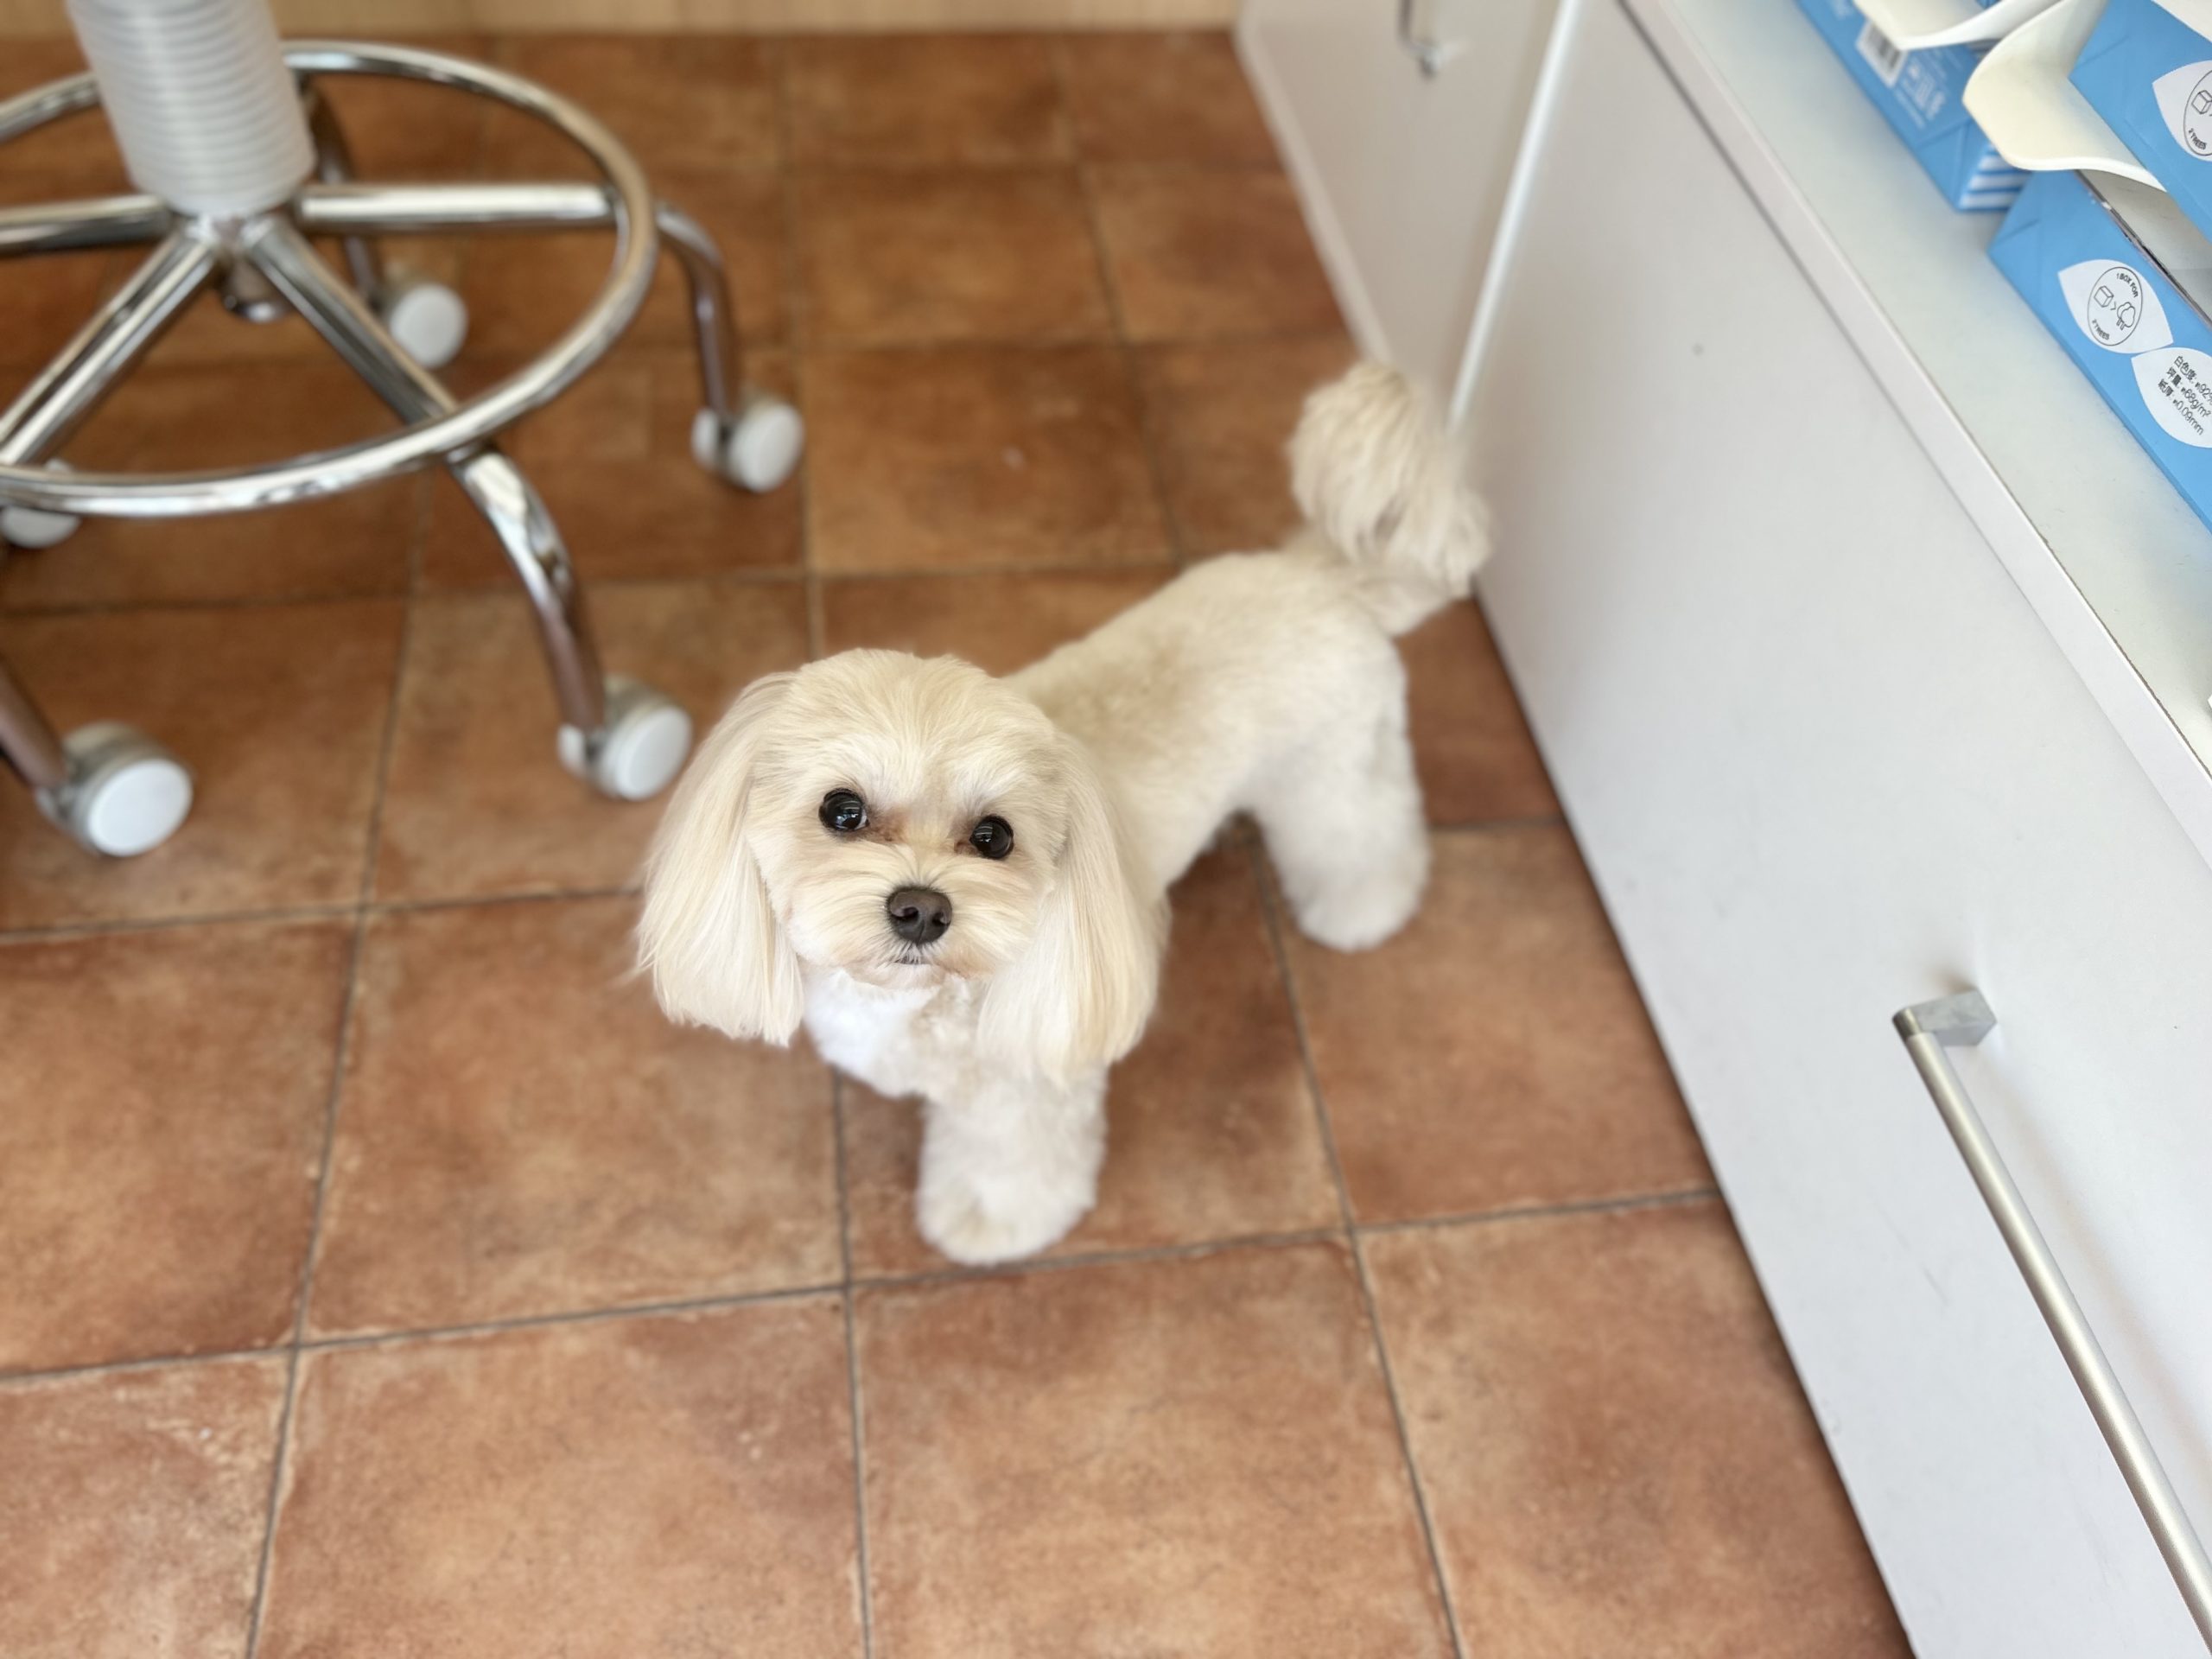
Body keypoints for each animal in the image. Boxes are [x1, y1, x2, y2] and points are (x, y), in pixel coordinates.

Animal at [637, 363, 1489, 1265]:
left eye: (994, 837)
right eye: (842, 811)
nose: (920, 910)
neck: (914, 1002)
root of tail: (1328, 573)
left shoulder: (1028, 1081)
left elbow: (1012, 1164)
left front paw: (989, 1223)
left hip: (1333, 778)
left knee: (1365, 836)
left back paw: (1364, 911)